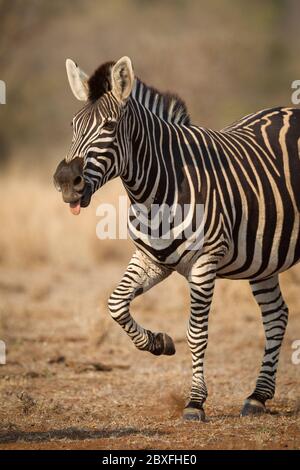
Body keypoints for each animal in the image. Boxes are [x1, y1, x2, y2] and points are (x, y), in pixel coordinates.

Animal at [52, 57, 298, 420]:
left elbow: (196, 334)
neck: (152, 192)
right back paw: (257, 397)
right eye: (72, 125)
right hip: (263, 257)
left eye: (109, 126)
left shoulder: (205, 263)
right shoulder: (151, 259)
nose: (66, 181)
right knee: (276, 316)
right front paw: (158, 342)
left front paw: (195, 402)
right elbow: (116, 304)